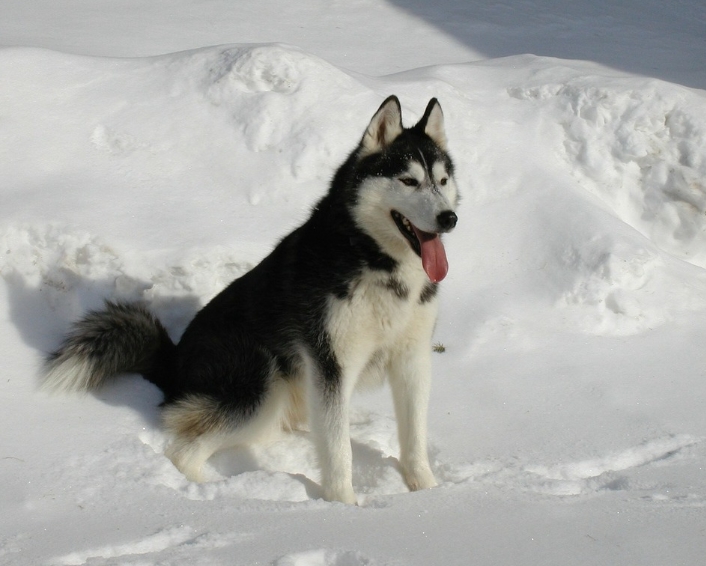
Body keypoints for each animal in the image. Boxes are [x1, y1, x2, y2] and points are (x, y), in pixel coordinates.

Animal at [45, 95, 462, 504]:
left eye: (442, 181)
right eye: (408, 180)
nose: (449, 218)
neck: (375, 261)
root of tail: (175, 359)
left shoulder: (411, 359)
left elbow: (413, 438)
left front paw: (428, 493)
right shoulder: (331, 365)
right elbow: (338, 452)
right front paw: (343, 507)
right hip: (261, 385)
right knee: (183, 452)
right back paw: (224, 496)